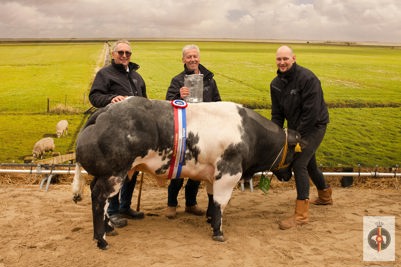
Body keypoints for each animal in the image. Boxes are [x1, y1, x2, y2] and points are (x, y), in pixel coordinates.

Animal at [72, 97, 300, 250]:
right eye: (293, 153)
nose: (289, 175)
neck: (249, 133)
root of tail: (105, 110)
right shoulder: (228, 173)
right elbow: (220, 202)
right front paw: (218, 232)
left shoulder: (213, 174)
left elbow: (211, 199)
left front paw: (209, 218)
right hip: (114, 173)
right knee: (100, 198)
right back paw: (101, 239)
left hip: (107, 174)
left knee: (98, 195)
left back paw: (109, 229)